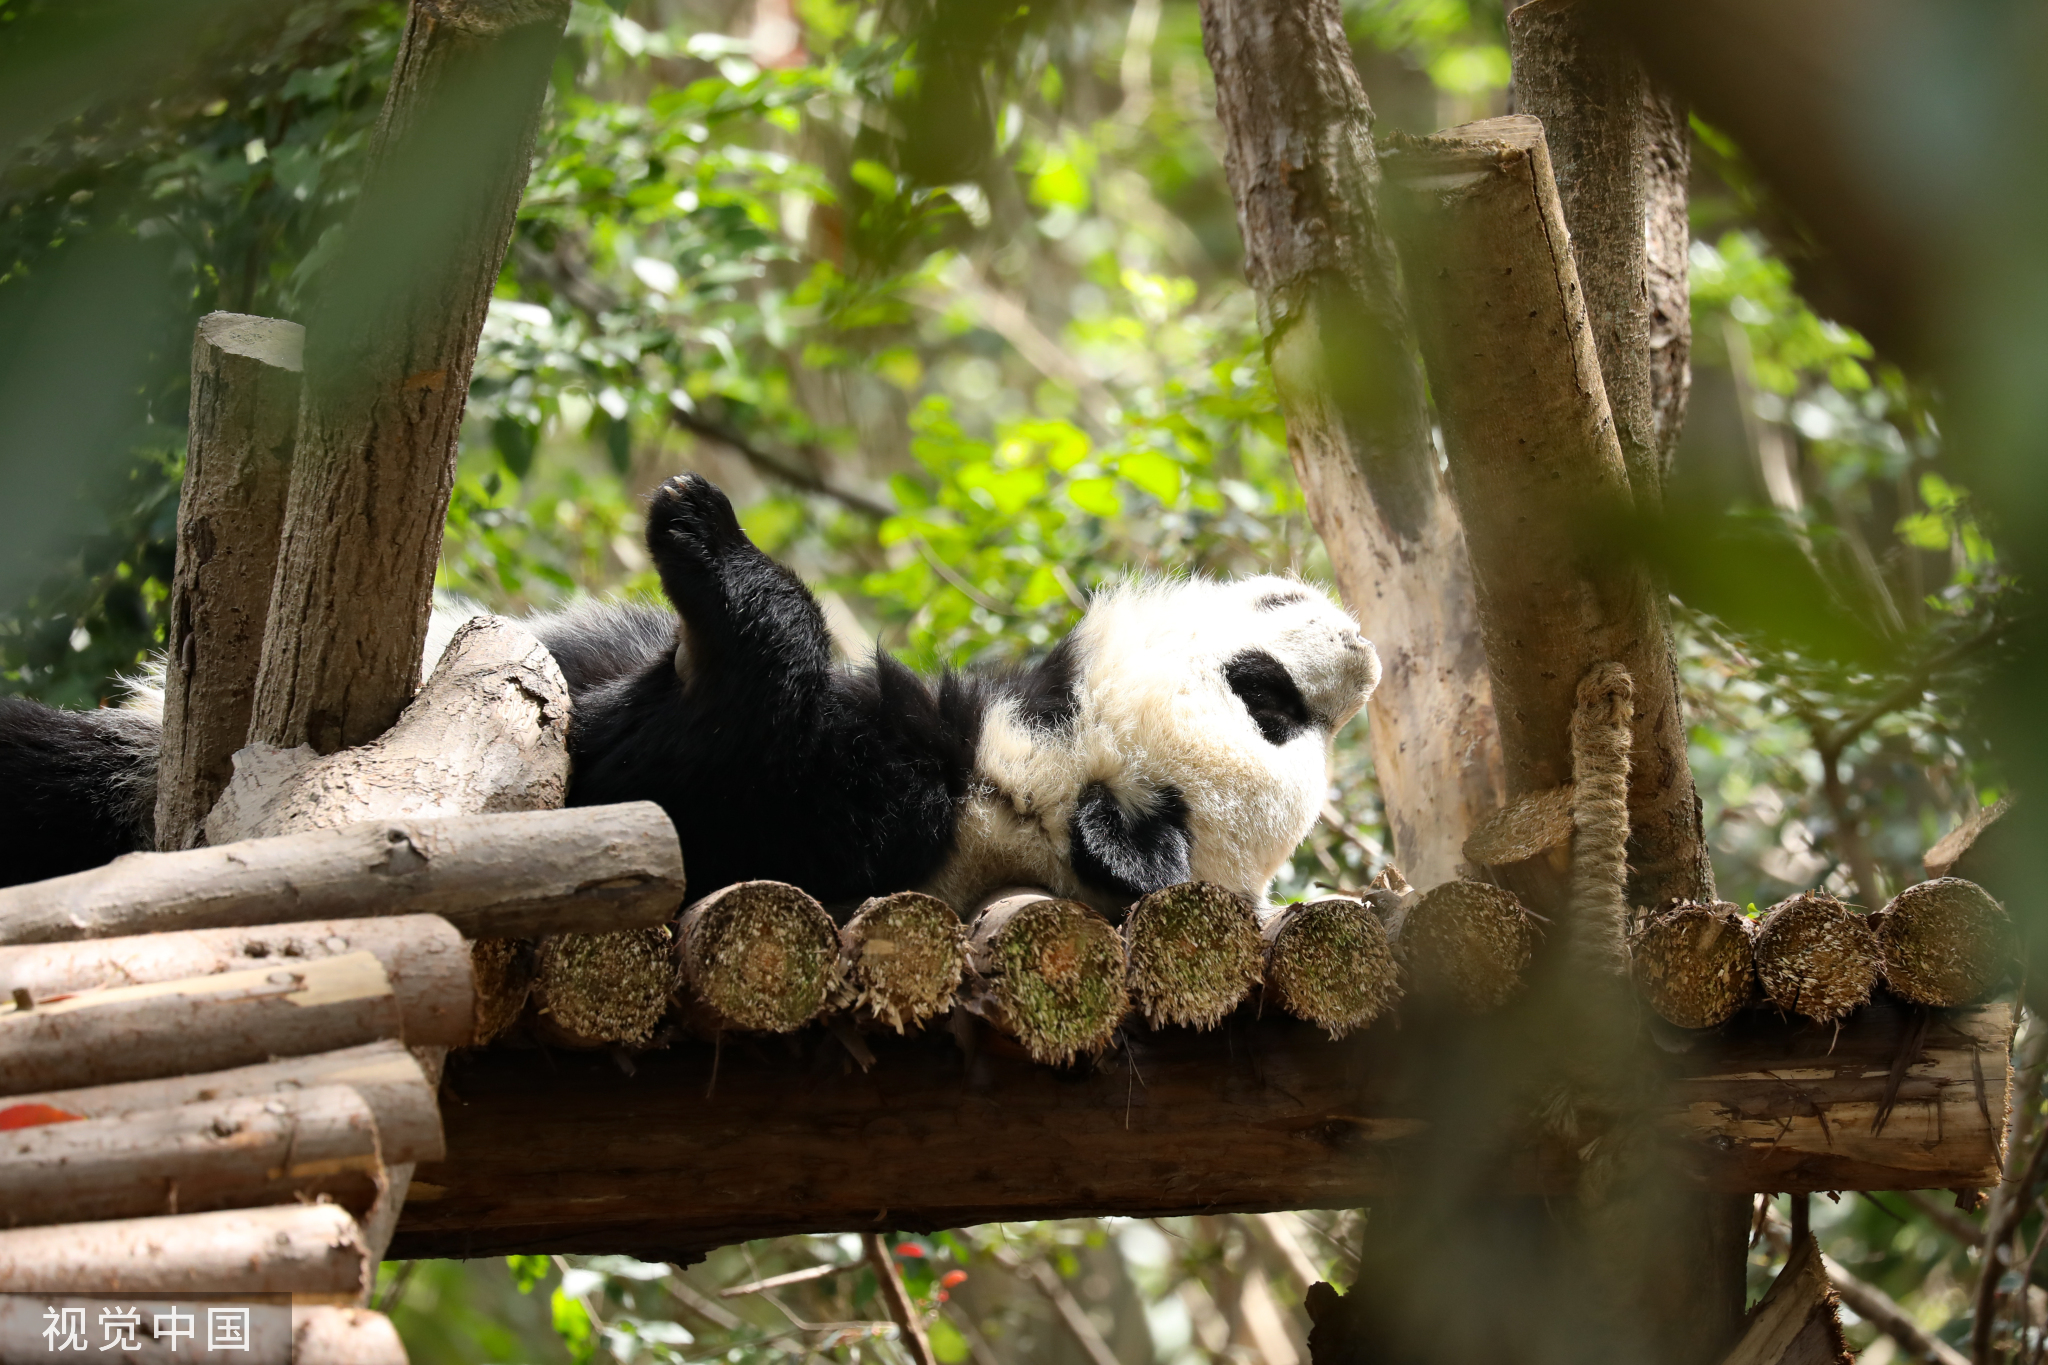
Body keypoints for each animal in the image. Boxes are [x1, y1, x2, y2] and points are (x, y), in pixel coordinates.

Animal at [0, 474, 1384, 925]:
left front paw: (704, 536)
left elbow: (617, 762)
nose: (1359, 662)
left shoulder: (823, 805)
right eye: (1277, 697)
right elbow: (570, 648)